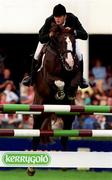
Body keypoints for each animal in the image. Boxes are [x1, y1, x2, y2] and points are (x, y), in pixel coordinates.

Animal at [27, 23, 81, 175]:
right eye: (61, 42)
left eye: (73, 42)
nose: (69, 63)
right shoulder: (49, 76)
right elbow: (59, 82)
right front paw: (60, 93)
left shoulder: (75, 73)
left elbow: (73, 81)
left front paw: (69, 92)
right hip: (39, 113)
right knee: (35, 136)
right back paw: (31, 169)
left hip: (68, 117)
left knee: (64, 138)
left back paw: (64, 165)